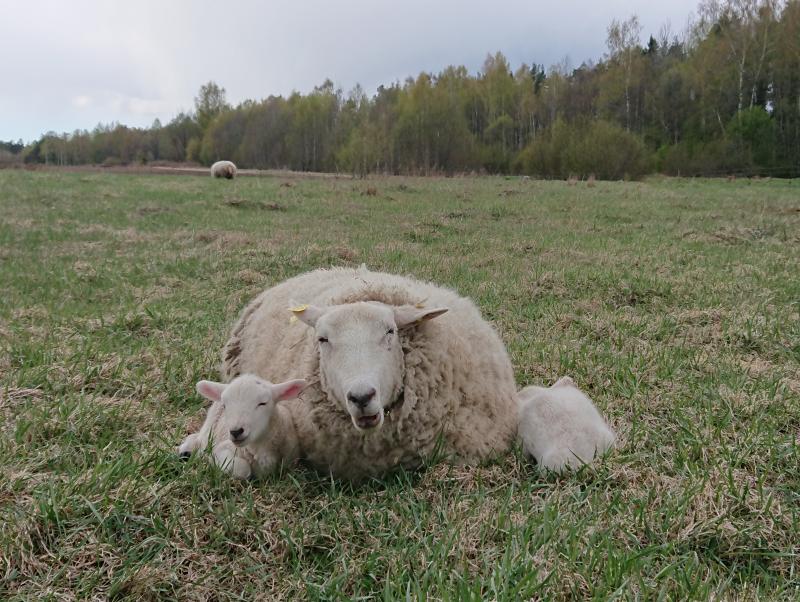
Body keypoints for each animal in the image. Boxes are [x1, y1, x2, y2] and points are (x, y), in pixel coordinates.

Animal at [178, 370, 306, 478]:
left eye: (263, 403)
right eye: (225, 405)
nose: (236, 431)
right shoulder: (222, 448)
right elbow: (243, 468)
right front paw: (209, 461)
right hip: (209, 428)